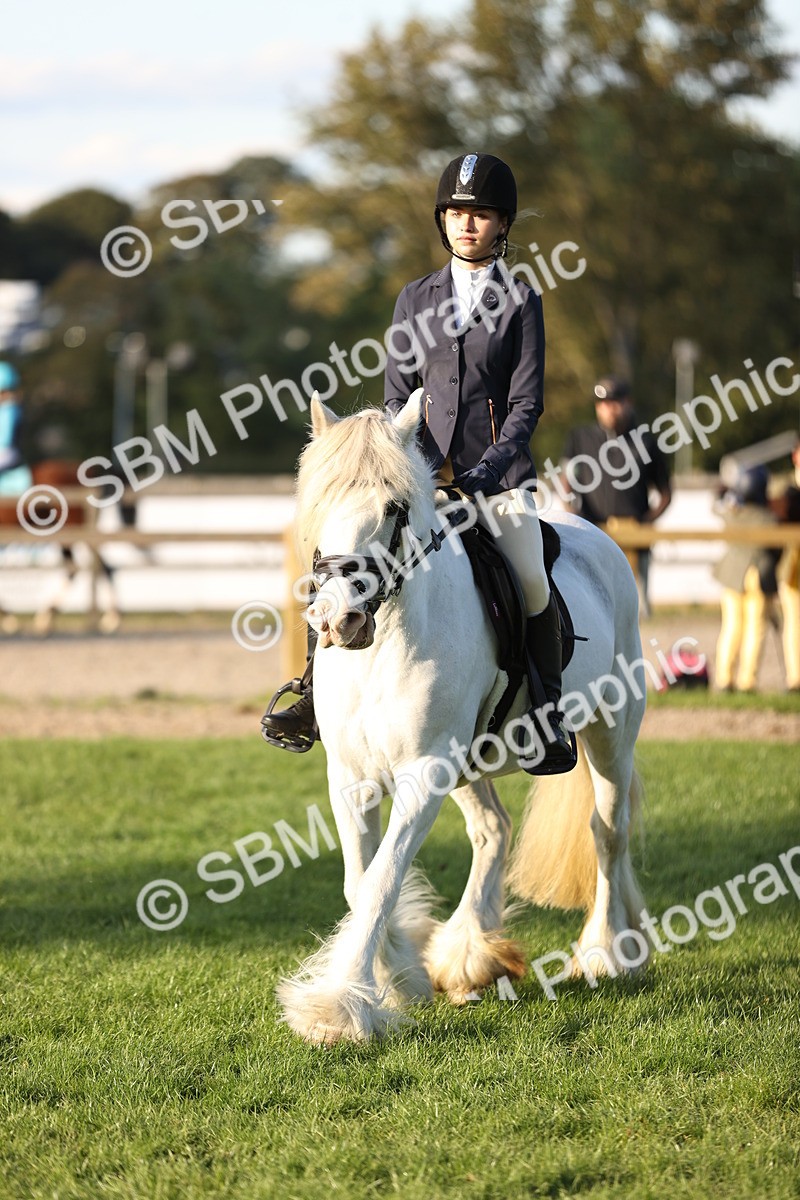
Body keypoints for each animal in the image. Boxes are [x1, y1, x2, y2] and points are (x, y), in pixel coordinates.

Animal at [277, 388, 648, 1044]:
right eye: (319, 502)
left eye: (395, 507)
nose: (338, 619)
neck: (383, 644)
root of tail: (598, 537)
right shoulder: (351, 776)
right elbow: (360, 881)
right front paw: (399, 974)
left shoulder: (423, 773)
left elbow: (380, 879)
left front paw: (340, 1006)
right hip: (469, 763)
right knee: (493, 830)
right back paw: (471, 956)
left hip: (611, 731)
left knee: (607, 832)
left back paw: (605, 951)